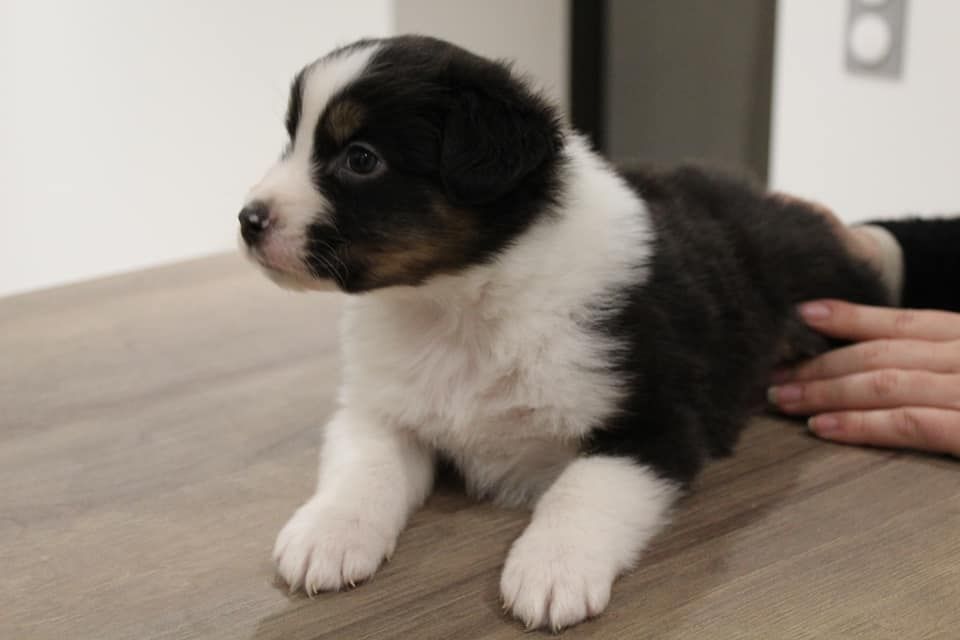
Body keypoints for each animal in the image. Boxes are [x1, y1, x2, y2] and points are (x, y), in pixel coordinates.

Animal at [239, 35, 888, 631]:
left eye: (361, 159)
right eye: (292, 140)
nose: (247, 220)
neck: (459, 305)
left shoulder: (657, 421)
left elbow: (583, 488)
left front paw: (552, 570)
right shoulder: (381, 407)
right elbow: (363, 467)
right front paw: (326, 534)